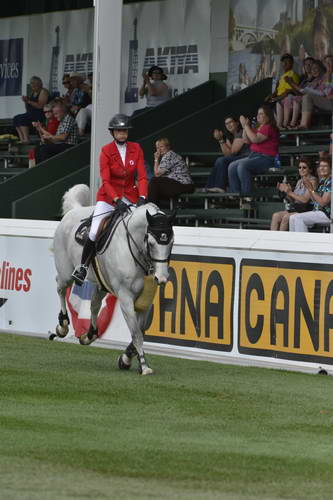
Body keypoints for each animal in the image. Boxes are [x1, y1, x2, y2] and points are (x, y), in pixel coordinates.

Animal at [52, 184, 174, 376]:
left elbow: (141, 330)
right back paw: (63, 325)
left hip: (102, 285)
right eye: (151, 243)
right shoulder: (125, 298)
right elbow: (136, 333)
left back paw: (90, 334)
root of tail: (73, 212)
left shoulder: (145, 301)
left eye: (171, 243)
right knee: (61, 288)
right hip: (66, 272)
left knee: (94, 305)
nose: (161, 278)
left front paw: (126, 359)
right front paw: (144, 365)